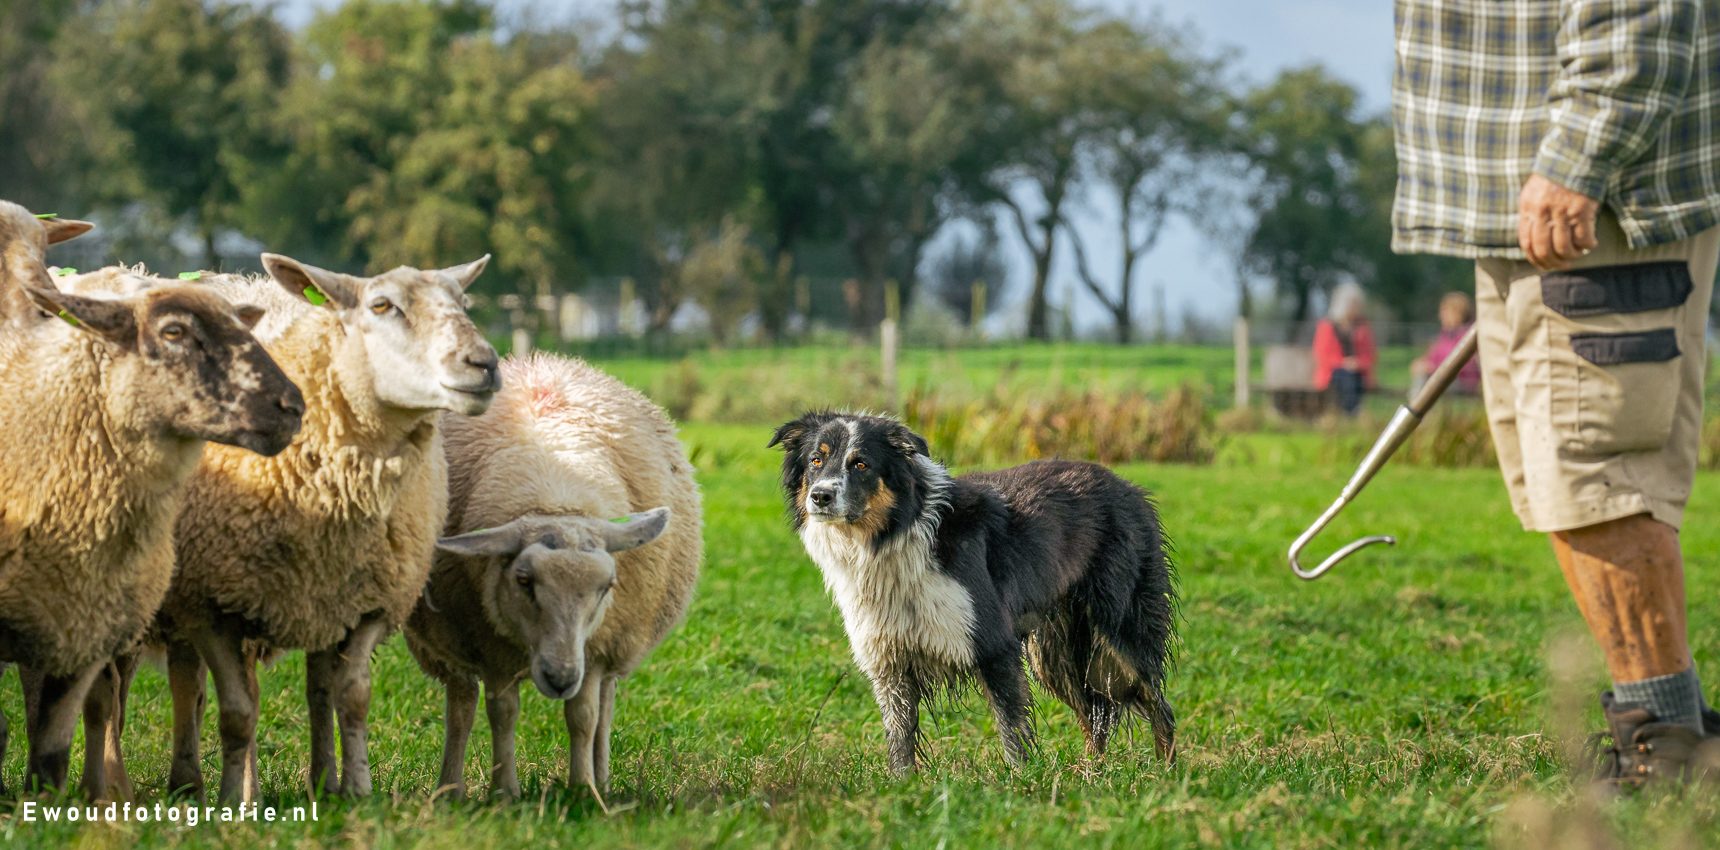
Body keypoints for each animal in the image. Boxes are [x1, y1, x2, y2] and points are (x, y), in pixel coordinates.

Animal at [112, 253, 502, 805]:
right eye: (381, 305)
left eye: (464, 303)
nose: (484, 364)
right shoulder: (212, 604)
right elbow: (238, 713)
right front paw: (231, 803)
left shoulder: (367, 601)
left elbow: (352, 698)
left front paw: (358, 791)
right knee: (122, 684)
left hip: (309, 596)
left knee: (253, 685)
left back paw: (286, 781)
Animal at [405, 353, 702, 800]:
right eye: (524, 582)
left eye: (607, 587)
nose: (560, 678)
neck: (555, 495)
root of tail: (537, 360)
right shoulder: (490, 646)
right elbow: (502, 713)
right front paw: (504, 793)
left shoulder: (593, 650)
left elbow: (584, 716)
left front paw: (583, 791)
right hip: (450, 644)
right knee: (461, 706)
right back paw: (450, 791)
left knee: (605, 709)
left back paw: (603, 780)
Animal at [770, 411, 1177, 774]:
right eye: (816, 460)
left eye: (861, 465)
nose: (820, 496)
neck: (891, 537)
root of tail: (1128, 486)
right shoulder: (890, 660)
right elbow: (900, 741)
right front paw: (902, 789)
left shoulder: (994, 644)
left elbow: (1013, 732)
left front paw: (1023, 785)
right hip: (1054, 654)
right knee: (1094, 717)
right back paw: (1092, 776)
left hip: (1118, 638)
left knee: (1158, 707)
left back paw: (1165, 775)